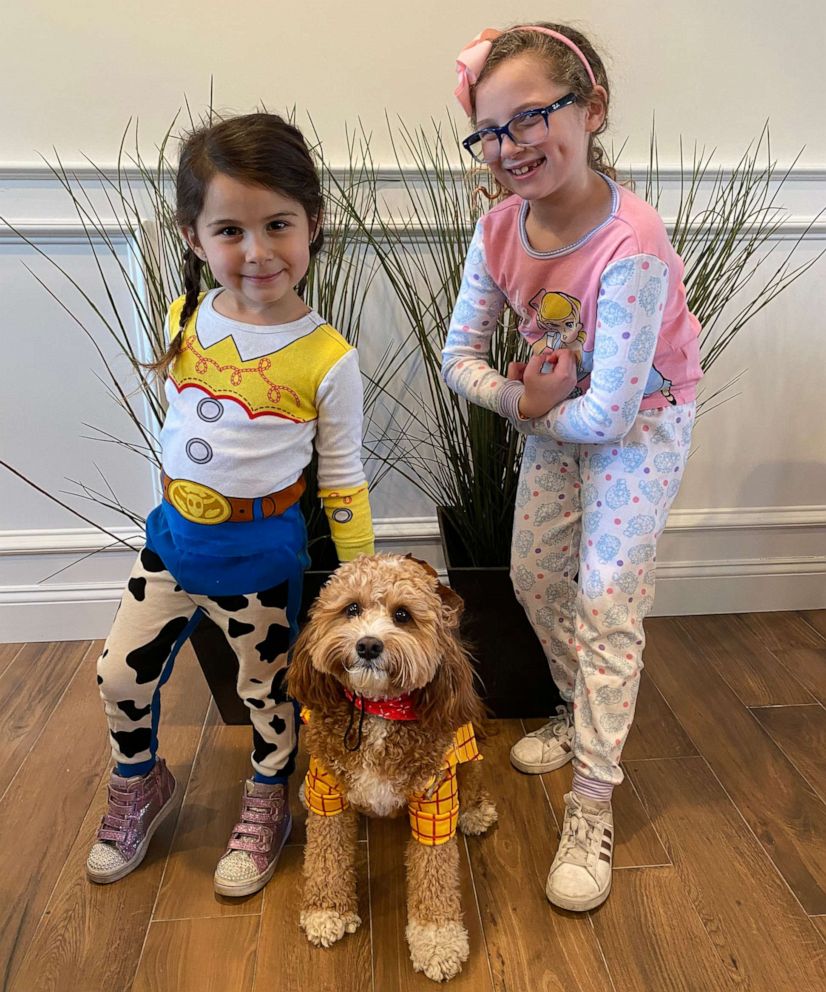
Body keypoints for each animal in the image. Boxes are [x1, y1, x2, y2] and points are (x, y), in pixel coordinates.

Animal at [288, 556, 496, 980]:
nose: (368, 645)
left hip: (463, 751)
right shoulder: (328, 792)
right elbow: (324, 853)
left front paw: (438, 942)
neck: (378, 710)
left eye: (402, 615)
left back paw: (475, 811)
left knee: (474, 775)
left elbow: (435, 874)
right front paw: (327, 910)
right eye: (352, 608)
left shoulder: (434, 802)